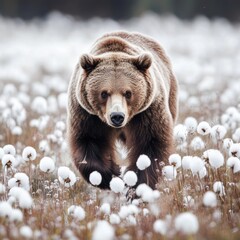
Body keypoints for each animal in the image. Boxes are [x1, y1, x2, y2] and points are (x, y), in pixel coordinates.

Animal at [66, 31, 177, 192]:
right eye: (104, 93)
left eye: (128, 93)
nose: (117, 116)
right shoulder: (88, 116)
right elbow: (89, 142)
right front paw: (111, 174)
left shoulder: (148, 113)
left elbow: (150, 145)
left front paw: (137, 185)